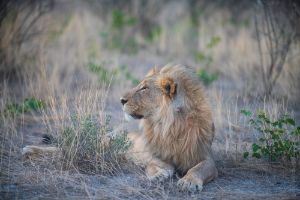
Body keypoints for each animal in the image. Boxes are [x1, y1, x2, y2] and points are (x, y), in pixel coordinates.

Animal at [120, 63, 218, 191]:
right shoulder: (160, 156)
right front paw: (158, 175)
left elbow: (198, 169)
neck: (172, 125)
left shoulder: (206, 156)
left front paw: (189, 182)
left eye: (144, 88)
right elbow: (151, 165)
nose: (121, 100)